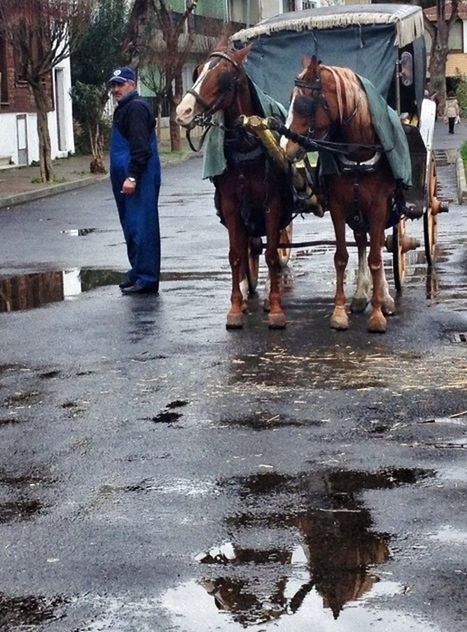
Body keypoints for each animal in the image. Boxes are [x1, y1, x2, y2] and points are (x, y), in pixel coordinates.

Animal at [176, 46, 290, 328]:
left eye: (224, 76)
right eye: (197, 71)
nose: (183, 112)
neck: (246, 143)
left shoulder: (272, 203)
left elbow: (272, 255)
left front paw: (275, 308)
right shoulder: (231, 206)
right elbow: (236, 254)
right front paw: (236, 307)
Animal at [284, 56, 400, 334]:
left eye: (303, 104)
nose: (285, 147)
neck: (358, 153)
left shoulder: (379, 207)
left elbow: (377, 258)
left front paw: (377, 314)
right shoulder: (338, 207)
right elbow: (341, 257)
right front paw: (339, 313)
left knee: (377, 244)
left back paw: (385, 298)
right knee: (361, 241)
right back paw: (360, 295)